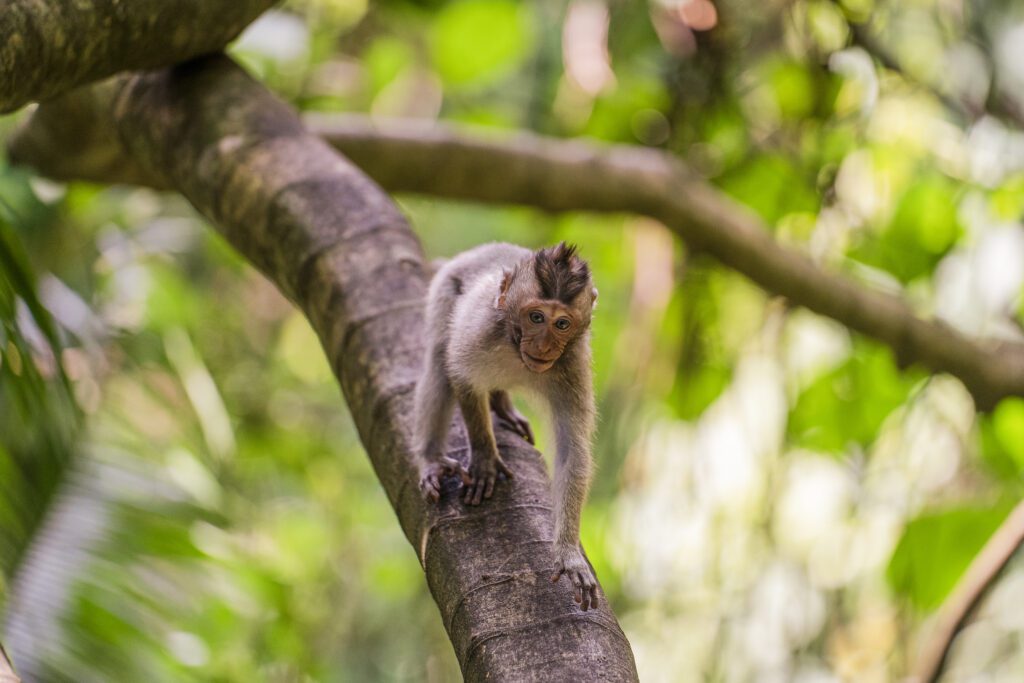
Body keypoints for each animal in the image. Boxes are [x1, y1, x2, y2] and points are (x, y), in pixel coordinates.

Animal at [412, 241, 600, 610]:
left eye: (562, 324)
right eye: (536, 317)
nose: (544, 345)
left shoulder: (573, 365)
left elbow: (572, 448)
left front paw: (569, 554)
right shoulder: (481, 329)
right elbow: (460, 374)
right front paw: (485, 459)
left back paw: (501, 403)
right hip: (446, 286)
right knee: (440, 358)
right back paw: (432, 459)